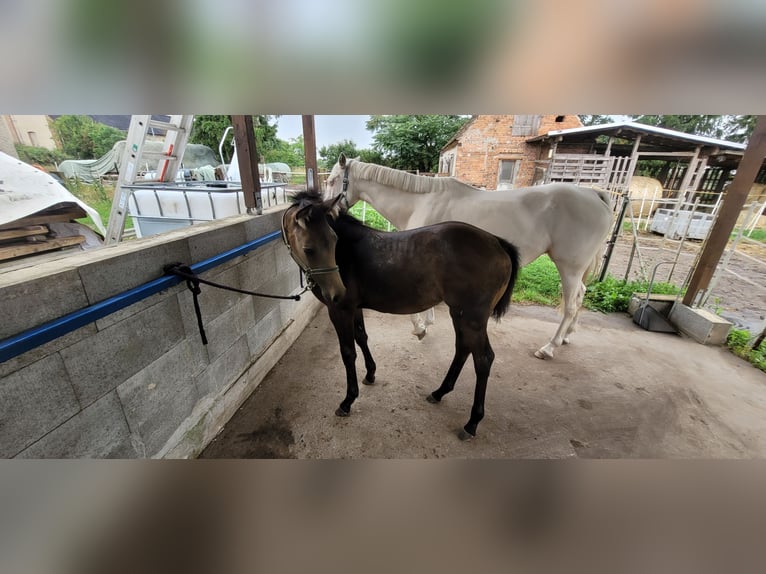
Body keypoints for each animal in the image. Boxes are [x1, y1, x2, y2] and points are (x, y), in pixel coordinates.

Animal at [281, 191, 521, 440]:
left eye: (333, 241)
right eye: (309, 249)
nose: (338, 292)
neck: (347, 251)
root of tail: (497, 243)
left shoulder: (340, 309)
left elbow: (348, 352)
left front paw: (348, 400)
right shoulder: (354, 307)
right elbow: (362, 338)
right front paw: (370, 374)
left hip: (473, 318)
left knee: (483, 360)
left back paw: (472, 422)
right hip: (460, 313)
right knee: (464, 348)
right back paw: (440, 392)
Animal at [324, 154, 614, 360]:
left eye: (332, 180)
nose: (327, 212)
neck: (421, 201)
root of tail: (594, 194)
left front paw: (419, 328)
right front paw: (427, 322)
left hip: (570, 267)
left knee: (571, 305)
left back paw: (550, 347)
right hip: (577, 270)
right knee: (581, 297)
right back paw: (566, 337)